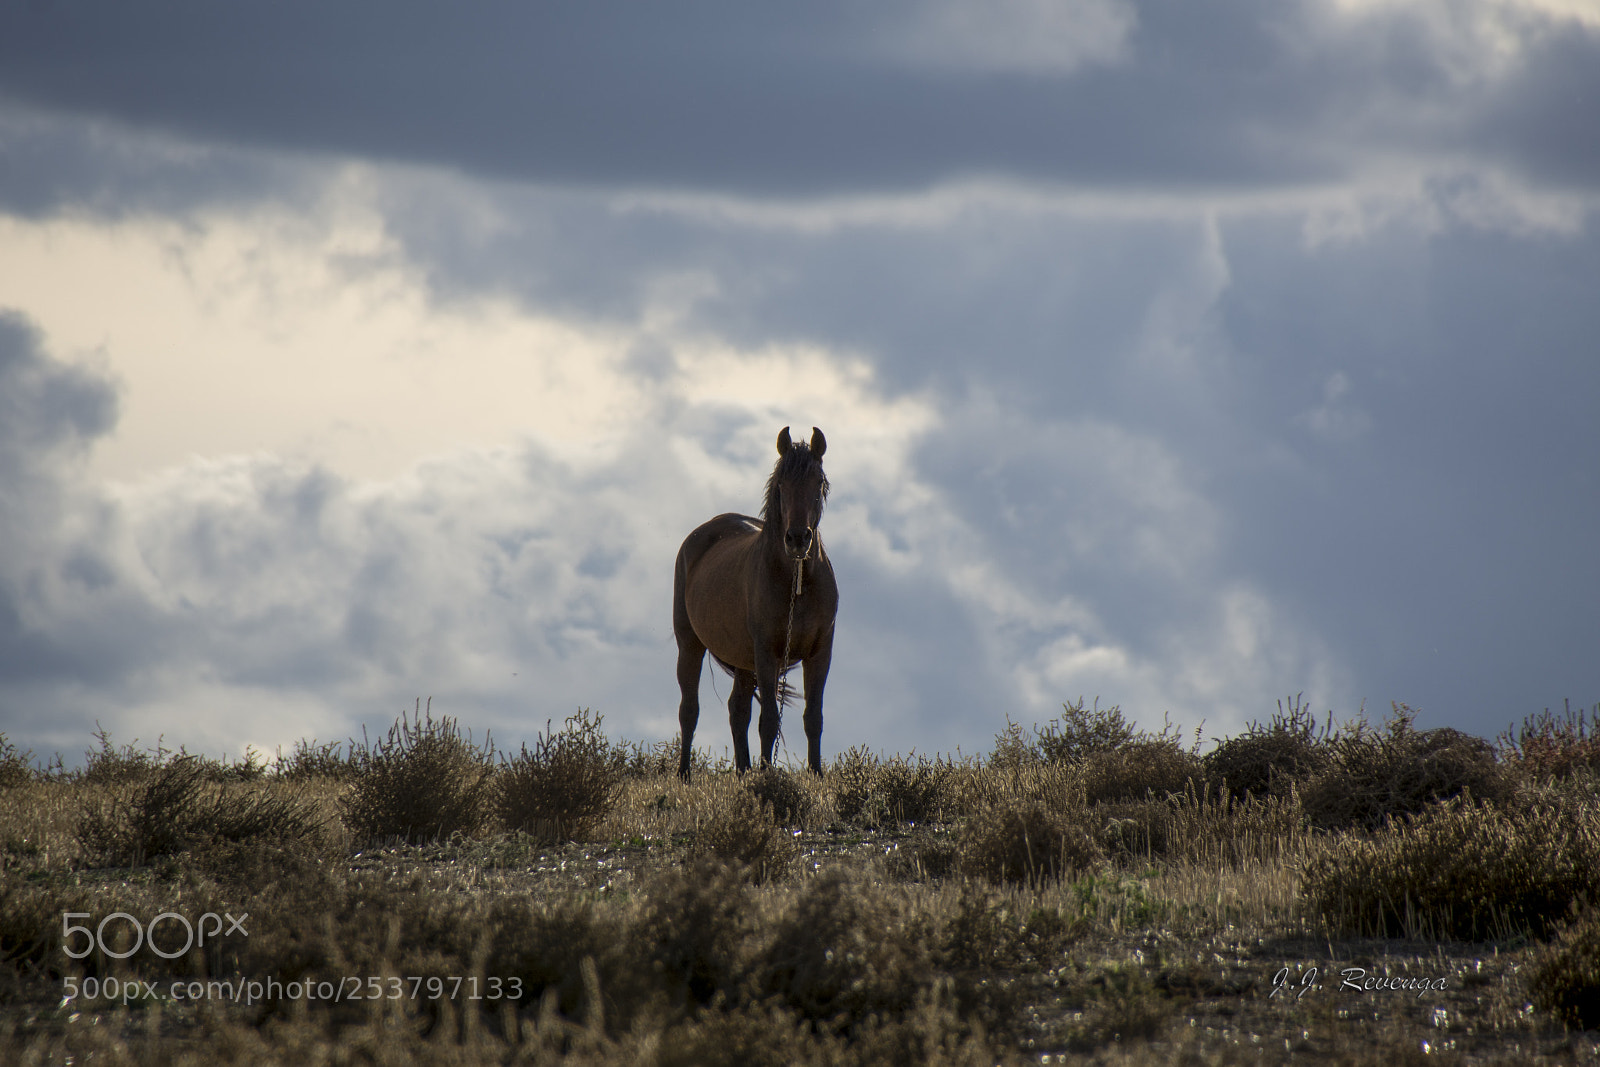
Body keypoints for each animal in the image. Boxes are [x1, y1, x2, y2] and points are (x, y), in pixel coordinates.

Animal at [673, 426, 839, 780]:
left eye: (817, 481)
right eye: (781, 485)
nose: (797, 539)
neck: (796, 583)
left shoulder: (821, 652)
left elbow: (813, 717)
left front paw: (816, 775)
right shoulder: (766, 653)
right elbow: (769, 720)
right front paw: (767, 775)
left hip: (742, 660)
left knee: (737, 709)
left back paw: (743, 771)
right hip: (690, 644)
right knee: (689, 709)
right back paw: (684, 775)